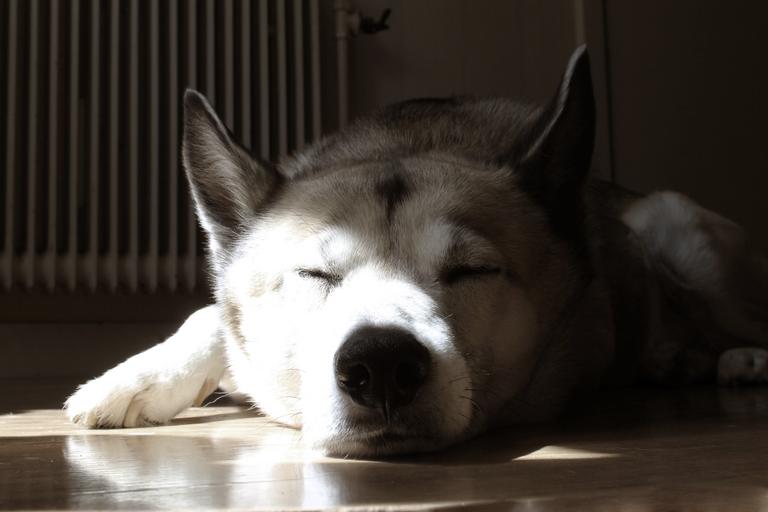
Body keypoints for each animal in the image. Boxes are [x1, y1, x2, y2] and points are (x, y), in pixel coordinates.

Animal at [64, 46, 768, 457]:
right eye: (314, 274)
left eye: (471, 270)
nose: (379, 367)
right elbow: (210, 315)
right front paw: (133, 378)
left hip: (673, 226)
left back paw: (739, 358)